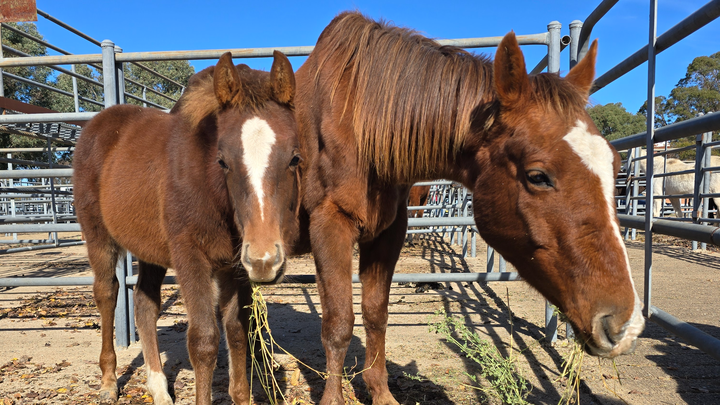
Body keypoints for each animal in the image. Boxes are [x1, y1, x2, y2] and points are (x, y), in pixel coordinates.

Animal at [73, 51, 300, 405]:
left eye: (294, 159)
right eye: (222, 161)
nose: (264, 261)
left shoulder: (234, 265)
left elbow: (237, 331)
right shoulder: (191, 257)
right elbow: (203, 340)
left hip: (149, 248)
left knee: (145, 305)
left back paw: (158, 387)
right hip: (99, 236)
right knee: (107, 293)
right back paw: (109, 381)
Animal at [294, 12, 644, 404]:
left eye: (615, 164)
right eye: (537, 176)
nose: (623, 325)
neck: (355, 121)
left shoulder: (388, 232)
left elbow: (375, 315)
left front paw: (381, 394)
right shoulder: (330, 225)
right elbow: (338, 323)